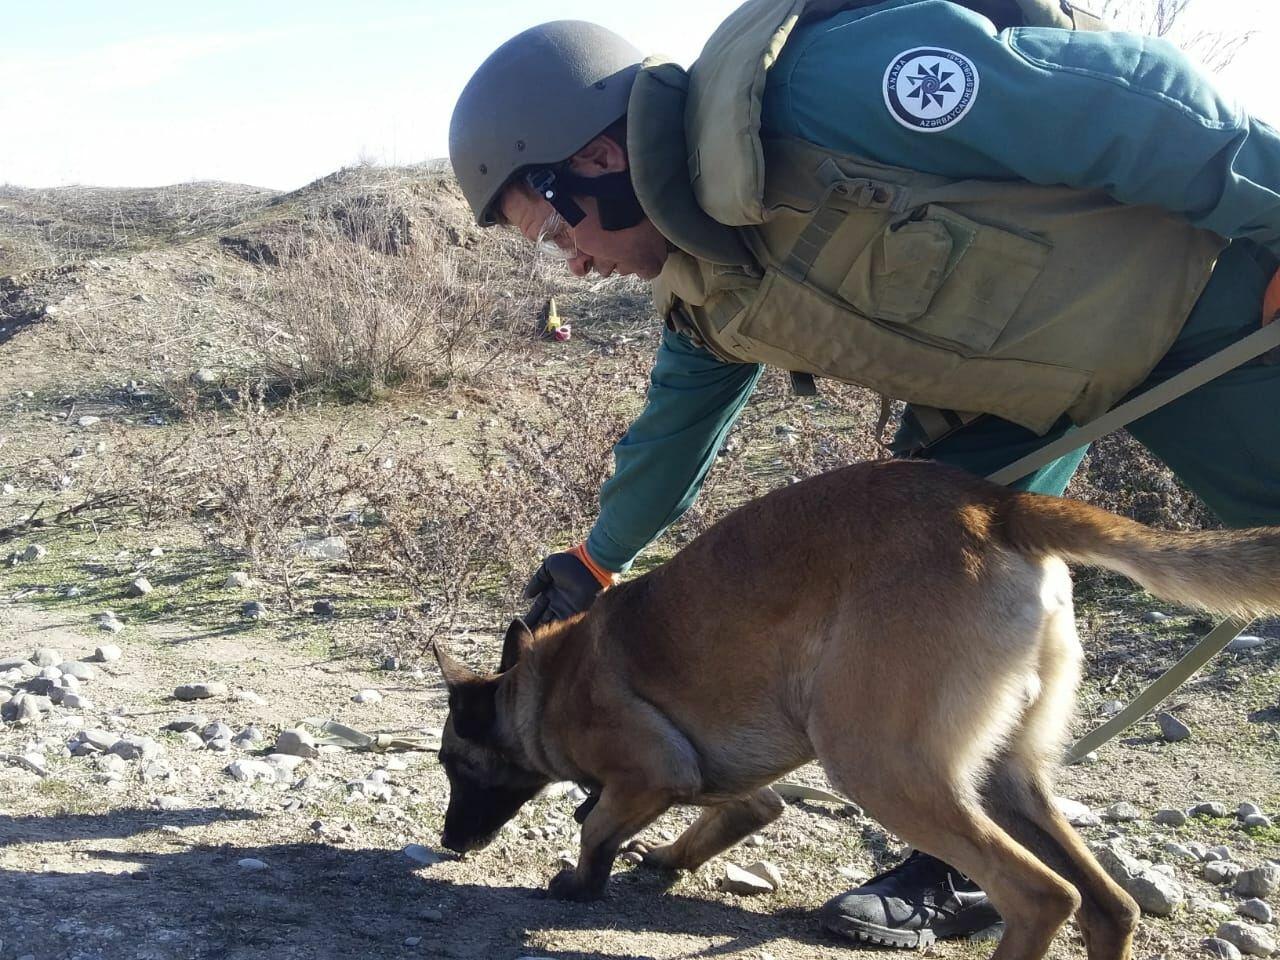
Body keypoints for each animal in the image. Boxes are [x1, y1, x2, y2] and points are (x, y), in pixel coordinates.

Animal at [432, 463, 1280, 957]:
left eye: (451, 763)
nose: (447, 842)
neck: (541, 681)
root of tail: (998, 506)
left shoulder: (650, 771)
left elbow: (597, 825)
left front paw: (580, 881)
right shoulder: (741, 791)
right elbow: (727, 816)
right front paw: (668, 859)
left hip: (878, 766)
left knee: (1043, 896)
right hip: (1005, 777)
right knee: (1107, 906)